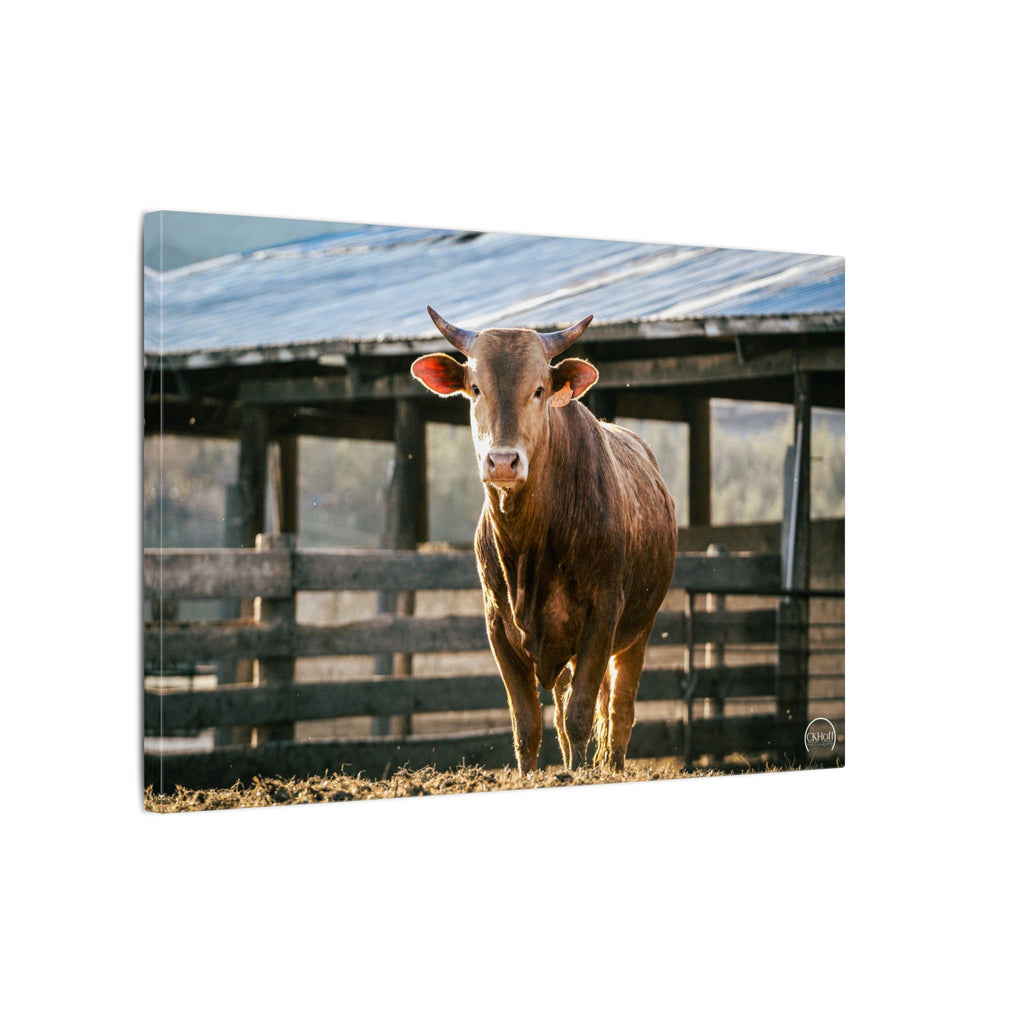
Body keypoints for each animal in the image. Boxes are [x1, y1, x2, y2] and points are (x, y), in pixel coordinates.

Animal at [411, 307, 677, 773]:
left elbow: (580, 714)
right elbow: (528, 722)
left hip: (637, 631)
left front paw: (579, 772)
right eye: (475, 388)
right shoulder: (498, 624)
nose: (502, 461)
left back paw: (610, 765)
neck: (528, 546)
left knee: (619, 710)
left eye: (538, 390)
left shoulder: (602, 614)